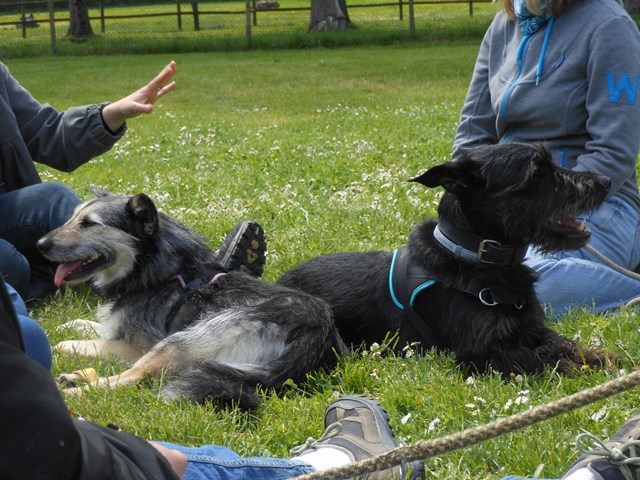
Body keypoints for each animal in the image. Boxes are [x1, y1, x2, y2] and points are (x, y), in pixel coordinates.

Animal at [280, 142, 616, 376]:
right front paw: (578, 368)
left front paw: (594, 356)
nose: (605, 181)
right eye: (536, 173)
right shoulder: (481, 353)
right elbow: (539, 357)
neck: (477, 261)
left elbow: (560, 341)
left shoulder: (530, 326)